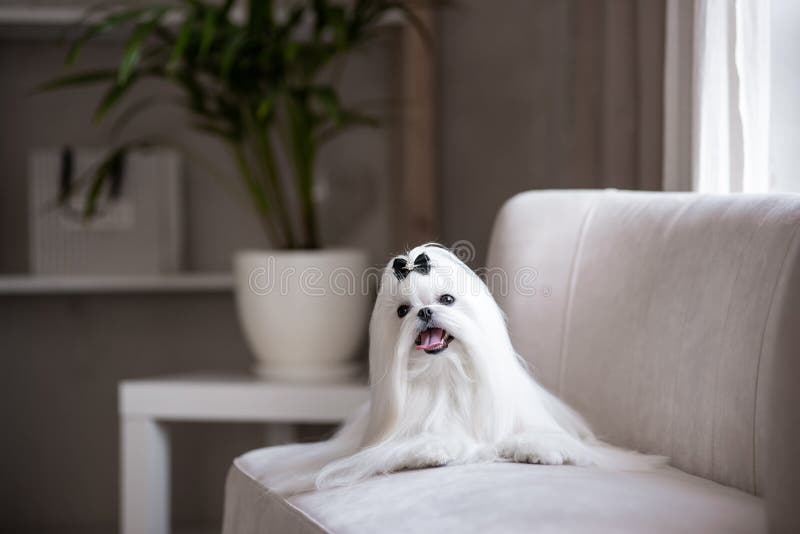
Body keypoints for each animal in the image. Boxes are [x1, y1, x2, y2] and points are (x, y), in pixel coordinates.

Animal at [262, 245, 664, 496]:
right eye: (402, 311)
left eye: (447, 299)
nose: (424, 311)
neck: (447, 376)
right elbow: (420, 443)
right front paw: (433, 450)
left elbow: (542, 438)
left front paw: (538, 449)